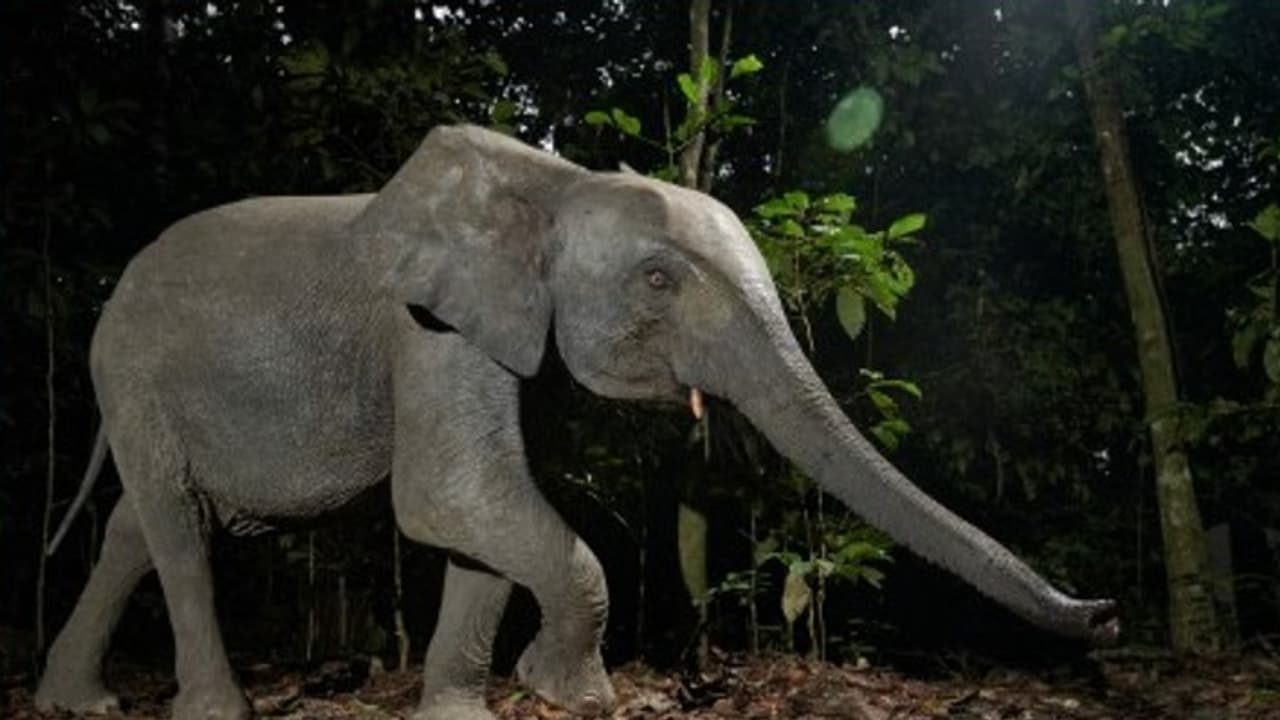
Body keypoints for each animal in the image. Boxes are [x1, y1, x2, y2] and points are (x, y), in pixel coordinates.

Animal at [36, 124, 1117, 720]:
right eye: (657, 281)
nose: (1104, 615)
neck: (555, 181)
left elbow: (472, 523)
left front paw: (465, 714)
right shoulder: (428, 331)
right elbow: (449, 497)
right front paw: (573, 695)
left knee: (139, 525)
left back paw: (79, 702)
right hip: (130, 372)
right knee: (176, 527)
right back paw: (218, 710)